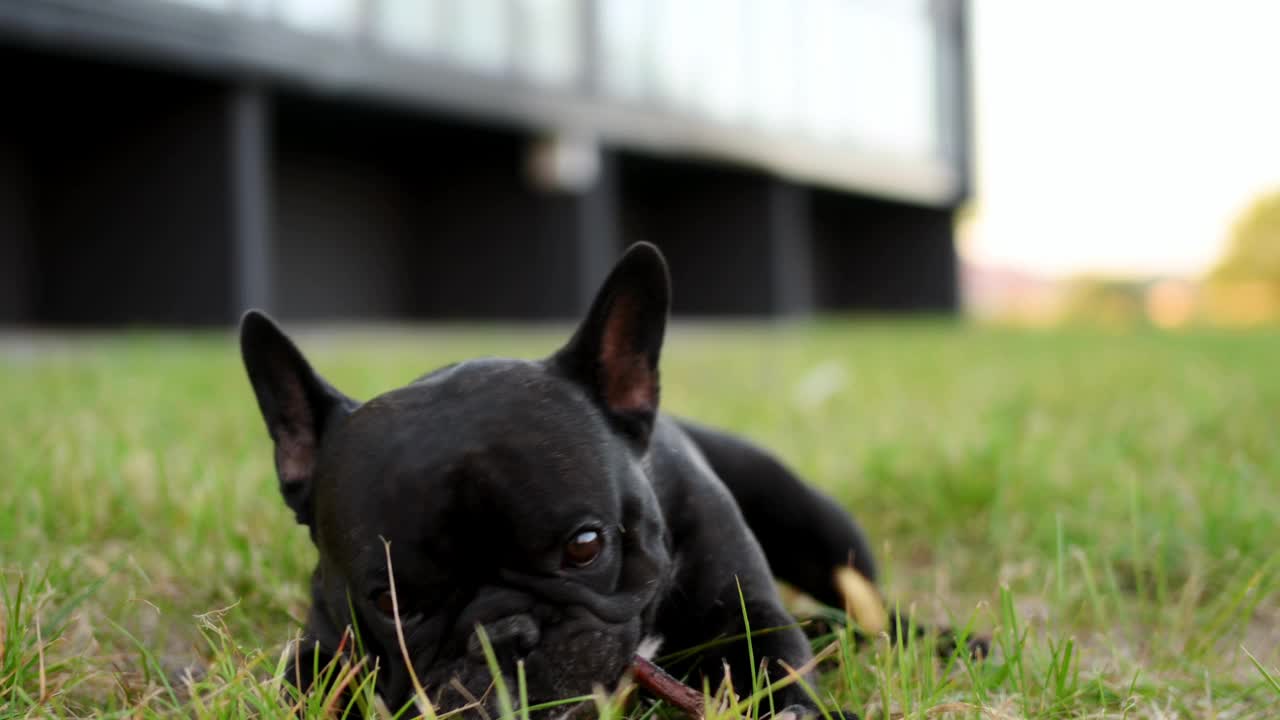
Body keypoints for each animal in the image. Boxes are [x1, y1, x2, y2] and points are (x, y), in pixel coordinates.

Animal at [241, 243, 967, 712]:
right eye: (391, 602)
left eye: (585, 546)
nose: (502, 636)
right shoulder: (319, 643)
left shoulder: (749, 620)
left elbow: (776, 673)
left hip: (820, 529)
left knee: (866, 612)